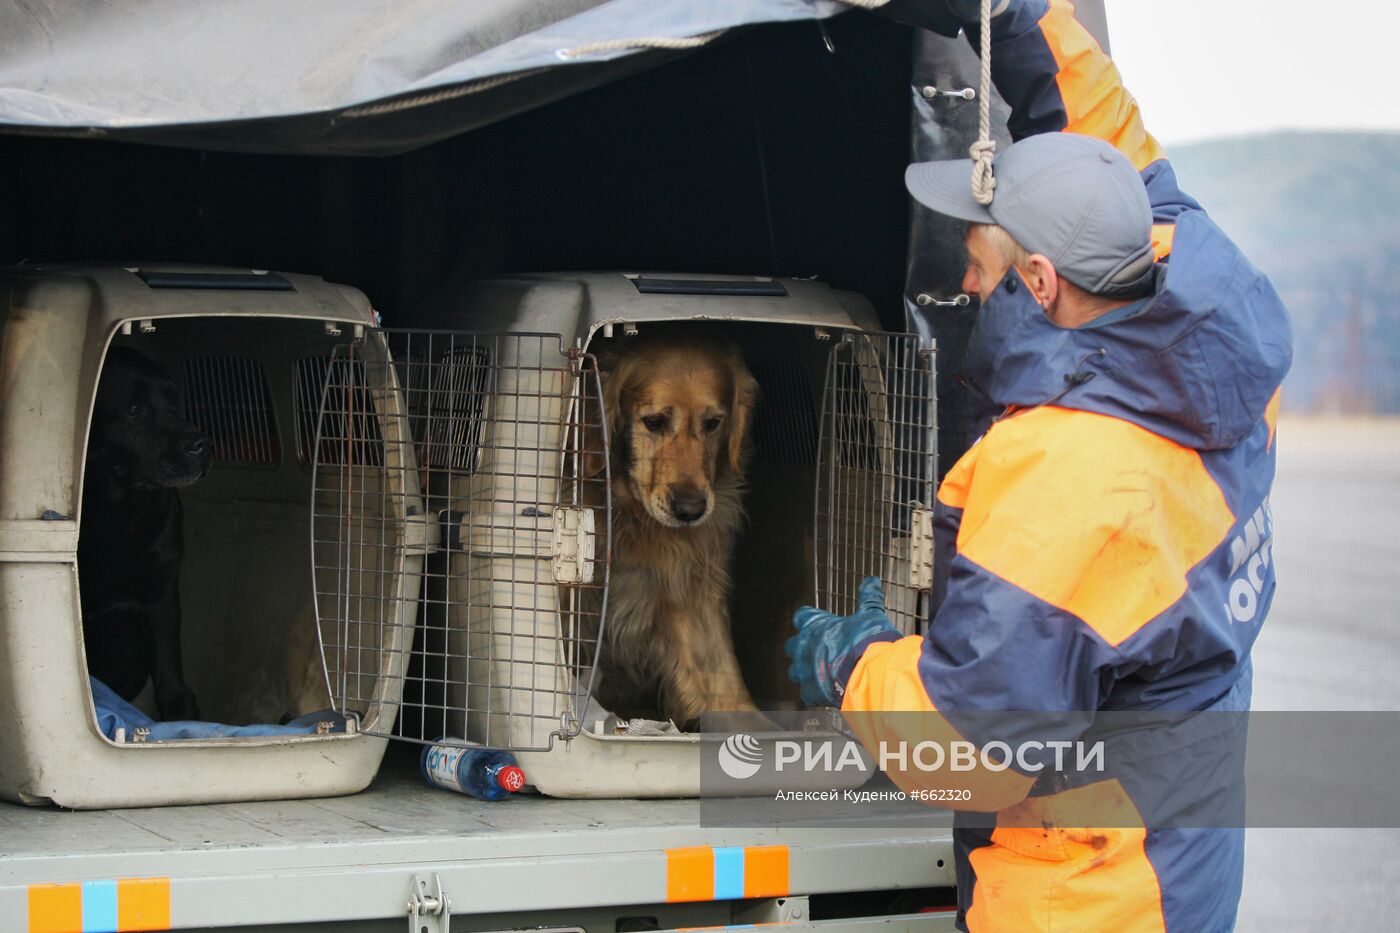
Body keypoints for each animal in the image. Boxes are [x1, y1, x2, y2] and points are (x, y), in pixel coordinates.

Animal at [79, 344, 210, 714]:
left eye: (174, 401)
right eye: (135, 409)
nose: (202, 444)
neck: (119, 508)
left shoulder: (162, 594)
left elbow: (171, 679)